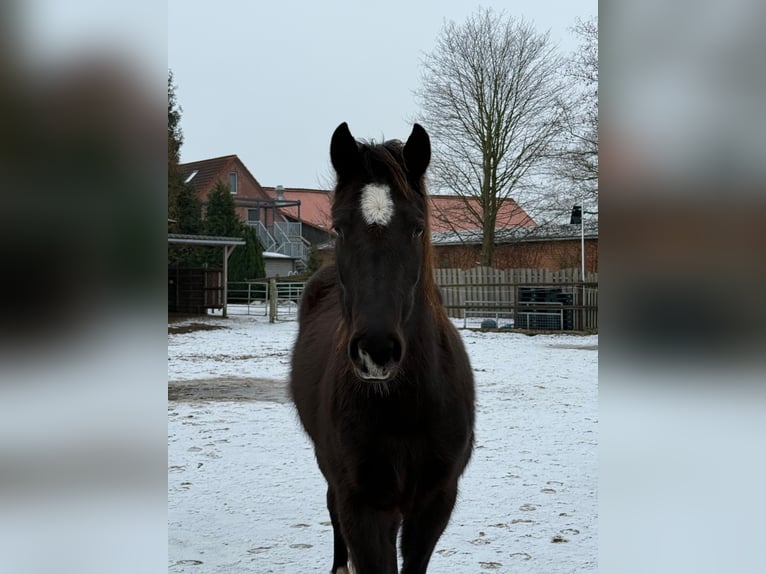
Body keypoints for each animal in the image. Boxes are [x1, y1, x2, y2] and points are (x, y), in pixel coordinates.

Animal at [290, 122, 475, 574]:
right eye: (339, 227)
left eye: (418, 227)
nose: (377, 350)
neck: (405, 405)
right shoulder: (366, 506)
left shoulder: (435, 502)